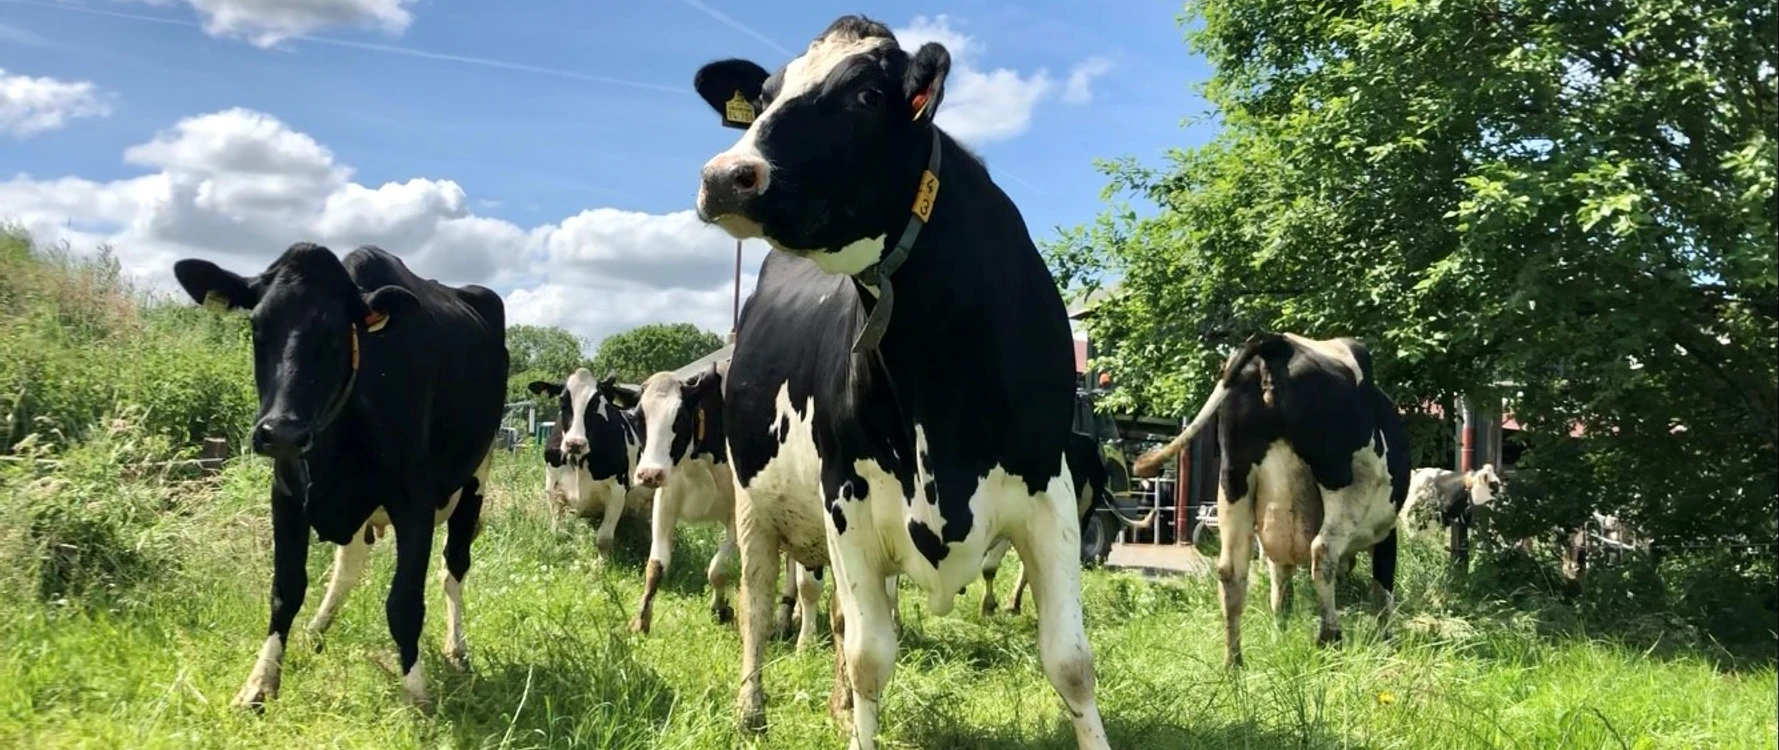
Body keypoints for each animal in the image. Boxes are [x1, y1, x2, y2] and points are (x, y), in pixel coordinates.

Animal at [172, 242, 506, 711]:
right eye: (257, 327)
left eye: (336, 334)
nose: (282, 432)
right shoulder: (286, 494)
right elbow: (286, 590)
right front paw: (260, 684)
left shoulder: (415, 502)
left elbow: (404, 602)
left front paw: (416, 693)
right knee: (349, 564)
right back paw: (316, 630)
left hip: (476, 477)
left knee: (453, 566)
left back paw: (456, 649)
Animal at [526, 370, 653, 553]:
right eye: (562, 400)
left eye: (597, 403)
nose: (575, 443)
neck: (579, 461)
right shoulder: (552, 486)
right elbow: (558, 531)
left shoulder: (618, 489)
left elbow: (604, 539)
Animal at [692, 15, 1112, 749]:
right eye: (766, 95)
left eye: (865, 96)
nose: (725, 176)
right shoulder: (846, 501)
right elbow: (869, 657)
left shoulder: (1049, 493)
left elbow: (1071, 662)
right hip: (753, 502)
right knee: (756, 598)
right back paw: (751, 709)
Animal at [1133, 332, 1410, 668]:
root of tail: (1277, 342)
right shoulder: (1385, 533)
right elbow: (1382, 591)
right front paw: (1388, 642)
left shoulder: (1278, 550)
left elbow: (1280, 593)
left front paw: (1280, 636)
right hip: (1344, 484)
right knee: (1323, 553)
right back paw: (1330, 639)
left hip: (1233, 484)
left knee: (1231, 571)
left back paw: (1234, 663)